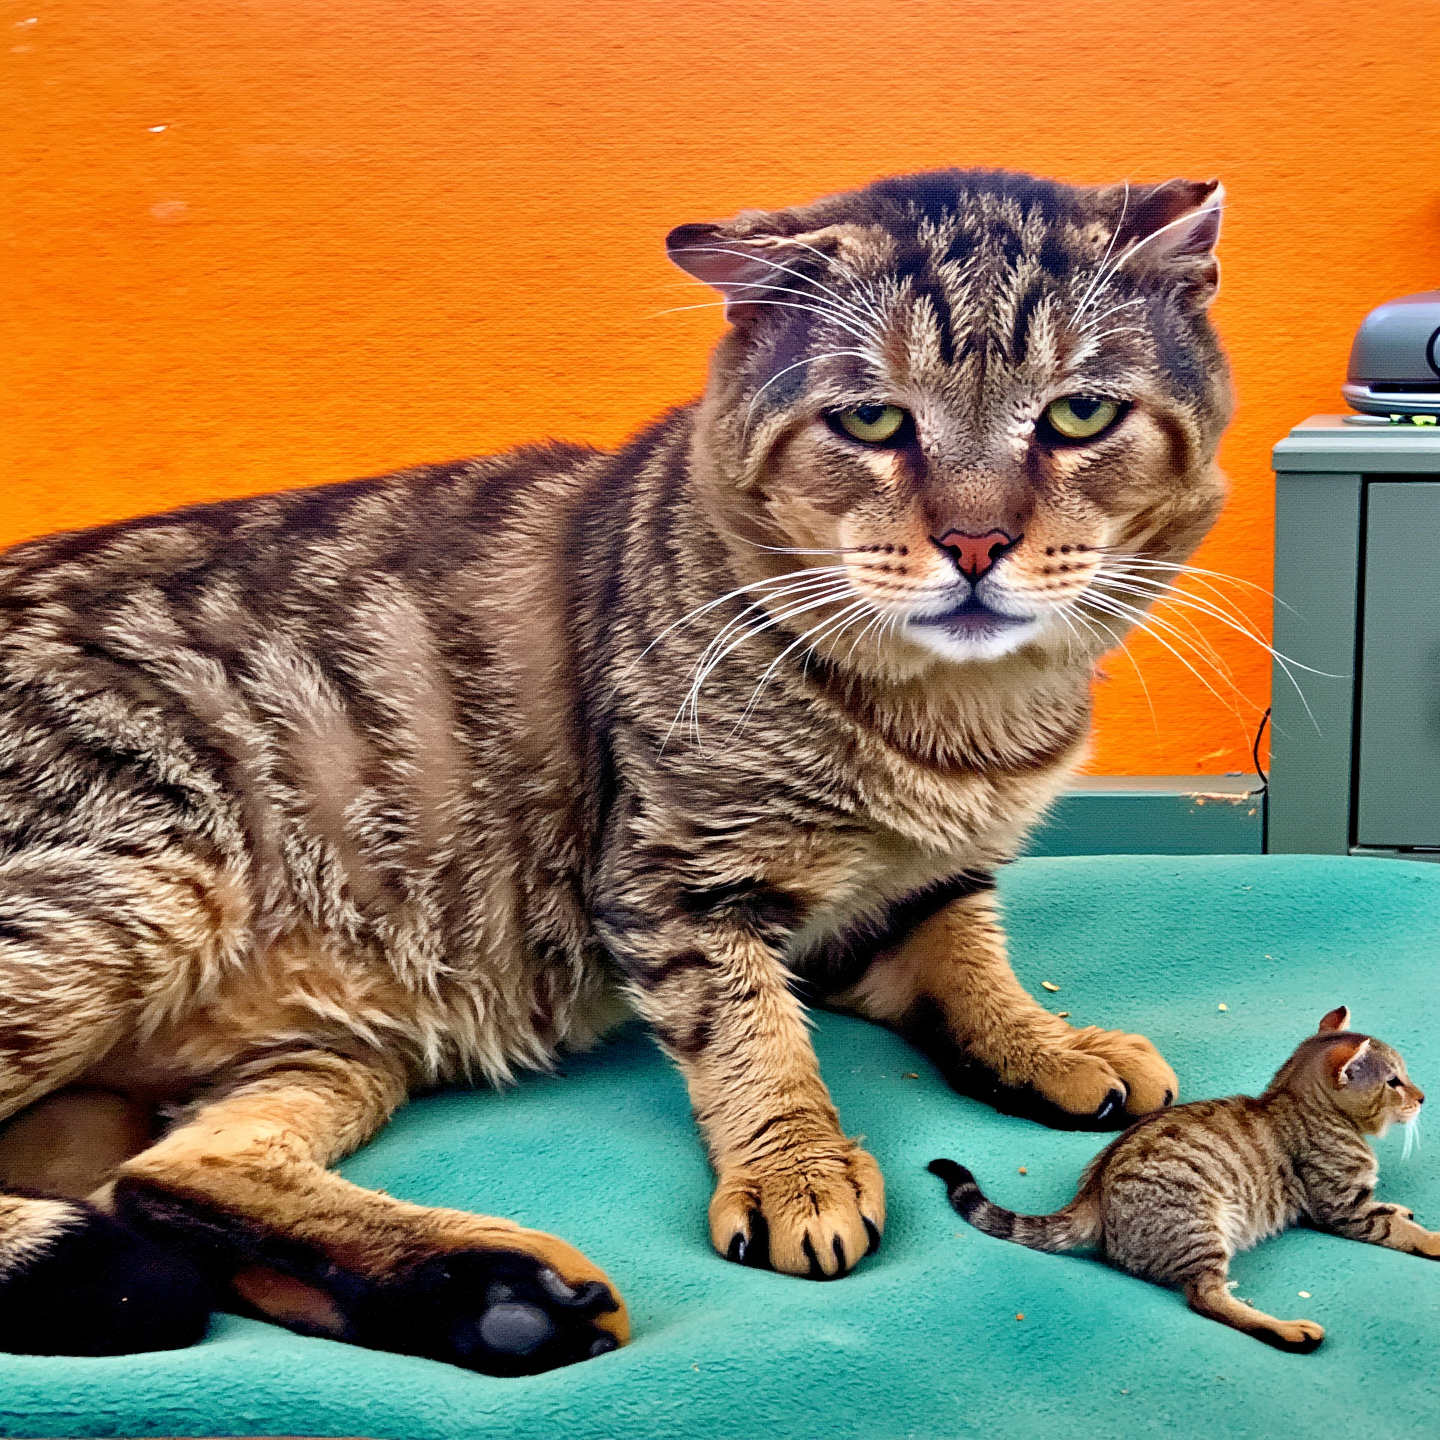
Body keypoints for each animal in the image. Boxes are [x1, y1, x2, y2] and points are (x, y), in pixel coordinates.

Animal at [0, 167, 1230, 1372]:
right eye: (873, 419)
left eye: (1078, 414)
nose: (977, 544)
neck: (960, 718)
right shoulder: (675, 880)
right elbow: (753, 1039)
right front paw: (795, 1169)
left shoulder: (914, 886)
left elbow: (968, 954)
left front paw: (1042, 1043)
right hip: (144, 887)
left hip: (324, 1046)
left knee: (171, 1180)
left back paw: (502, 1301)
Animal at [931, 1007, 1435, 1352]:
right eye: (1395, 1081)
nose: (1423, 1096)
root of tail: (1090, 1194)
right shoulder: (1340, 1207)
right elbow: (1395, 1228)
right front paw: (1432, 1238)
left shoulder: (1354, 1201)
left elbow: (1390, 1211)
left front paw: (1404, 1210)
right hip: (1202, 1227)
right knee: (1205, 1298)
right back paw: (1289, 1330)